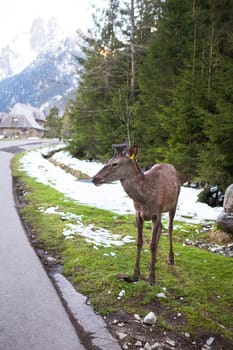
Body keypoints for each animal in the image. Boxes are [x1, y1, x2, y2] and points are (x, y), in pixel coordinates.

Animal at [92, 142, 181, 284]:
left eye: (115, 164)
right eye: (108, 161)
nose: (94, 178)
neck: (144, 198)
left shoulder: (156, 213)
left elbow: (152, 245)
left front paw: (152, 278)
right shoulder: (138, 214)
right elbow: (139, 242)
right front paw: (135, 275)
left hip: (174, 203)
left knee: (170, 228)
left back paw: (171, 259)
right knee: (162, 228)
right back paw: (153, 262)